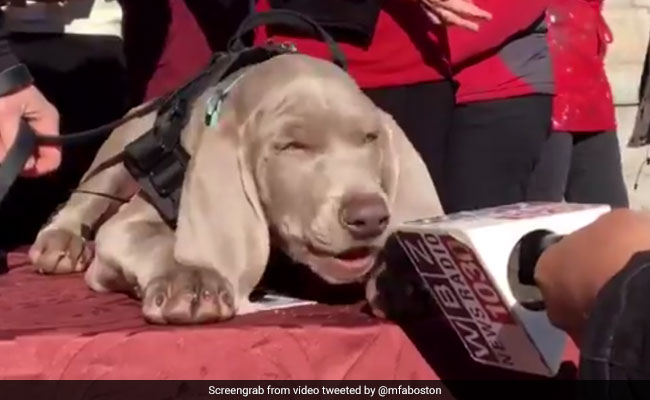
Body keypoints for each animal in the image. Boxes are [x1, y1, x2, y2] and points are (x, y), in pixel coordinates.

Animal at [27, 54, 442, 324]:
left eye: (370, 138)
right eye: (292, 147)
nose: (370, 217)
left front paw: (403, 280)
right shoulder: (128, 225)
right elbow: (153, 239)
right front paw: (191, 281)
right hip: (123, 146)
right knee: (86, 197)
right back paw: (61, 242)